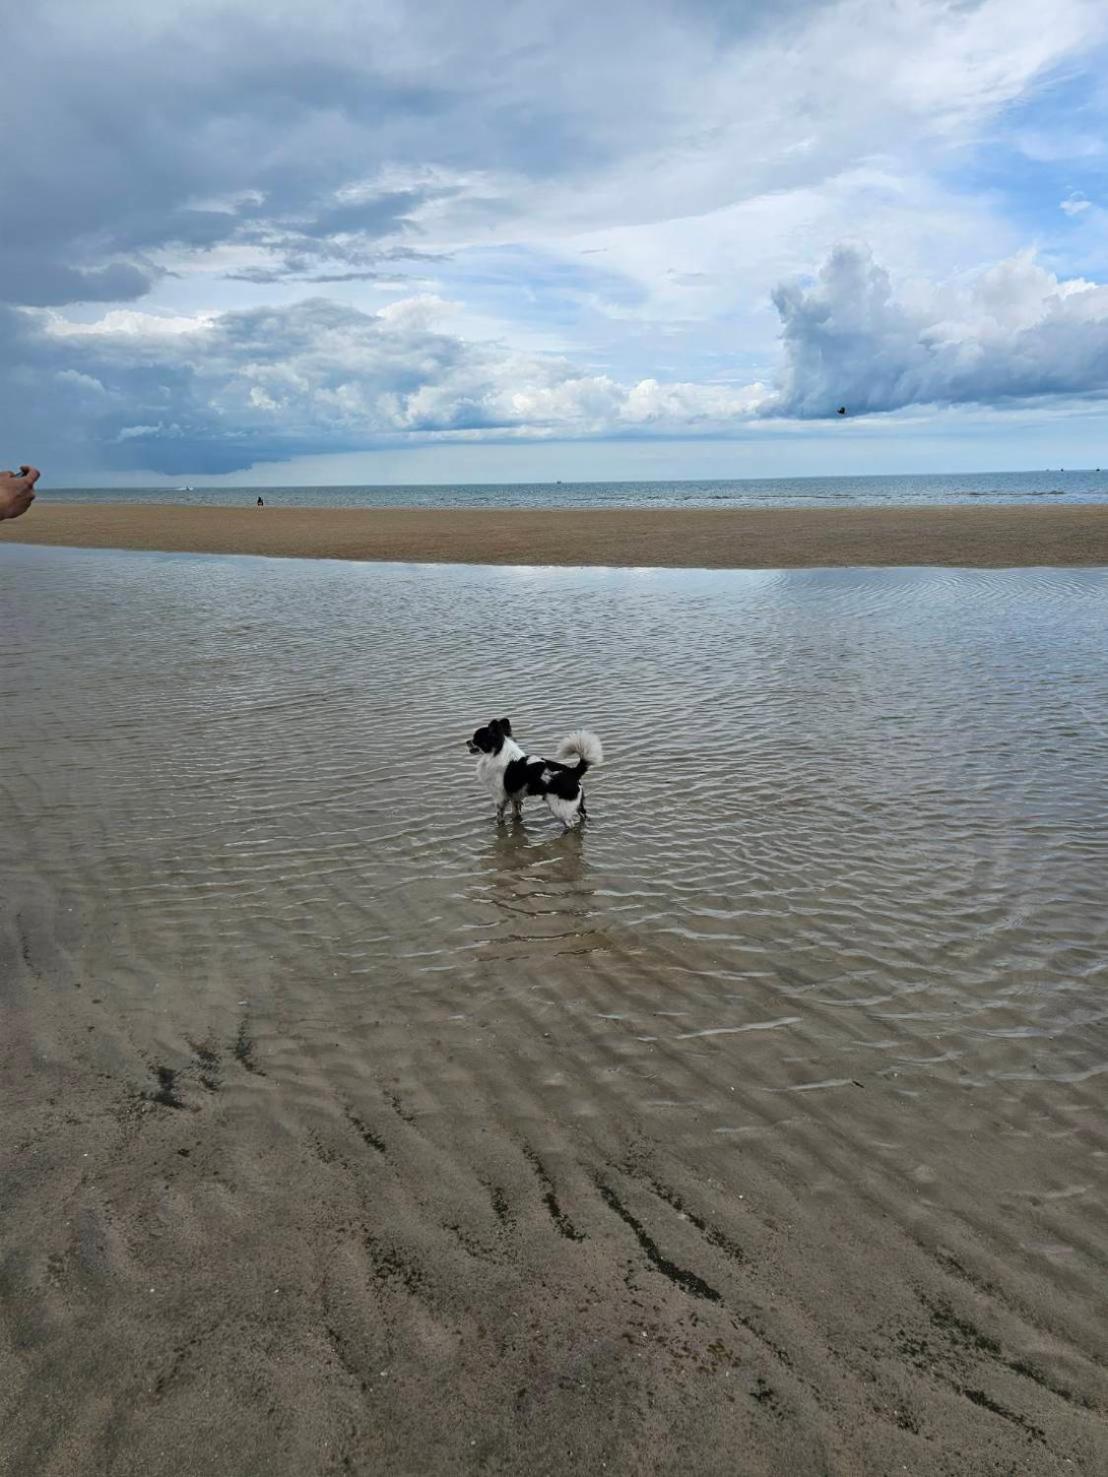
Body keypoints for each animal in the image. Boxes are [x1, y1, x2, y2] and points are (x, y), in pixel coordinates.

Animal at [469, 717, 608, 827]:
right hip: (578, 805)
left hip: (559, 808)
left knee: (571, 825)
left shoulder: (500, 797)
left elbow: (499, 816)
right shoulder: (515, 796)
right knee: (584, 817)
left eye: (476, 739)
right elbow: (515, 812)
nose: (466, 742)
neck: (499, 751)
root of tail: (573, 771)